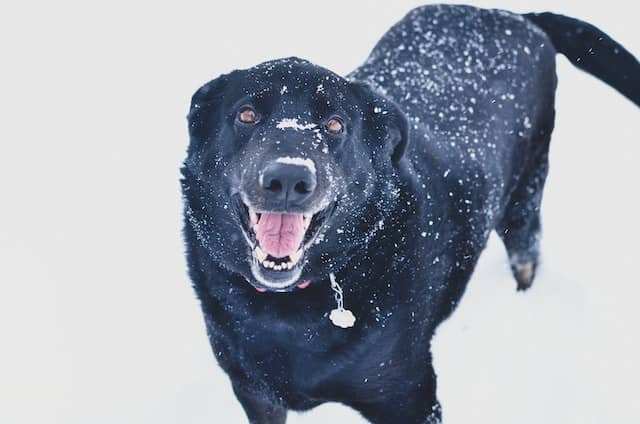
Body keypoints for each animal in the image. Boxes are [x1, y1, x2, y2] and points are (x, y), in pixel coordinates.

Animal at [181, 4, 640, 424]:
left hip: (523, 198)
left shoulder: (409, 398)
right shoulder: (256, 394)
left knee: (528, 252)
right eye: (246, 114)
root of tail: (516, 15)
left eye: (335, 125)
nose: (289, 178)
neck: (286, 307)